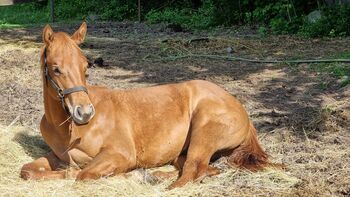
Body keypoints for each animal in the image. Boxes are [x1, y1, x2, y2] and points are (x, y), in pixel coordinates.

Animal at [20, 22, 280, 189]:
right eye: (56, 68)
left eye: (86, 66)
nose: (84, 113)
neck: (71, 130)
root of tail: (242, 109)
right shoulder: (56, 156)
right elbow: (28, 170)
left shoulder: (120, 154)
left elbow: (82, 174)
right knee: (202, 169)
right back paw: (151, 176)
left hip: (203, 133)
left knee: (191, 172)